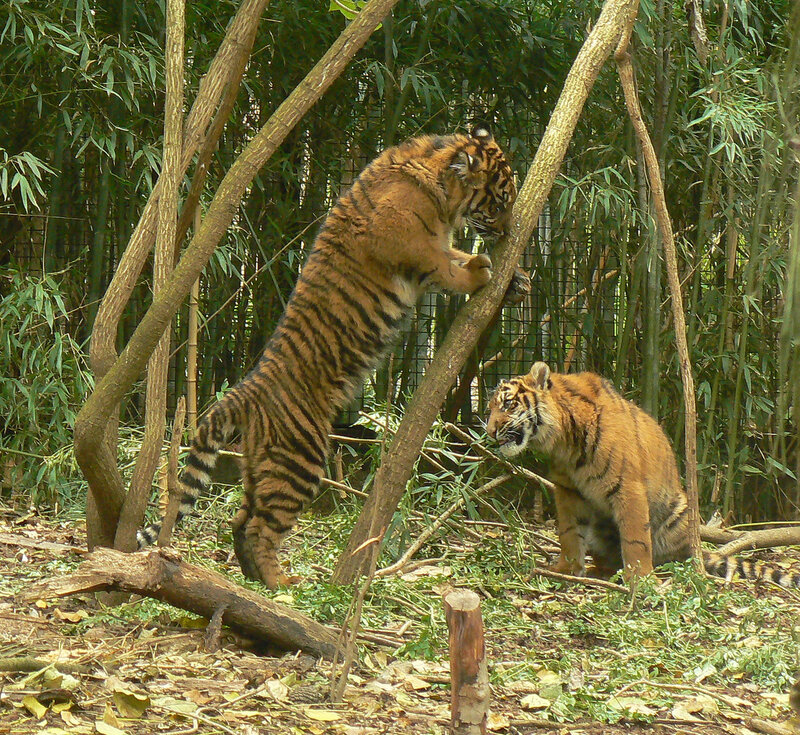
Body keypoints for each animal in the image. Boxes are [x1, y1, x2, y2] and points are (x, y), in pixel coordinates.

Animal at [137, 126, 520, 589]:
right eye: (500, 201)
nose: (509, 230)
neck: (438, 184)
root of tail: (246, 390)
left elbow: (455, 255)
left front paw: (515, 279)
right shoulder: (410, 243)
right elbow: (447, 266)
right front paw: (481, 271)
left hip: (259, 466)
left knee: (241, 520)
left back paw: (255, 579)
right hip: (299, 460)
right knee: (259, 527)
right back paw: (281, 585)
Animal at [486, 362, 800, 588]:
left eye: (508, 404)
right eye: (490, 408)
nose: (489, 432)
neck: (564, 439)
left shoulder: (627, 487)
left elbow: (635, 539)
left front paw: (641, 581)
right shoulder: (567, 490)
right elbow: (568, 532)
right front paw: (565, 570)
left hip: (680, 514)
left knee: (673, 556)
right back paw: (601, 571)